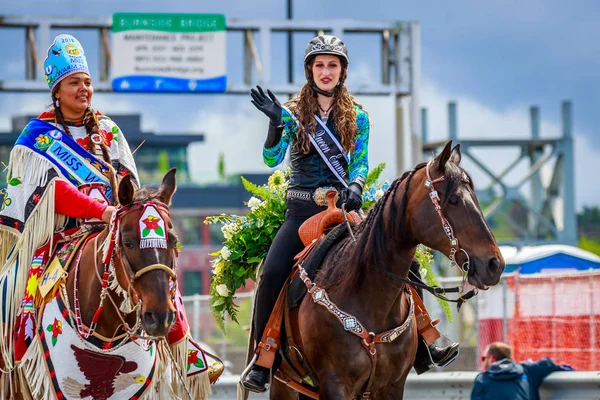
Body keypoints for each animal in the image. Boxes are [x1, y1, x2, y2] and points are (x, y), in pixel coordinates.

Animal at [270, 142, 502, 398]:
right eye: (453, 200)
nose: (494, 264)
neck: (368, 297)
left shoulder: (392, 385)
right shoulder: (335, 384)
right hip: (283, 383)